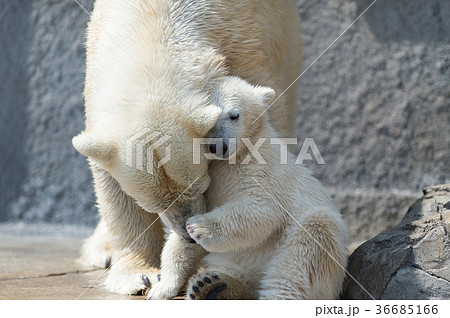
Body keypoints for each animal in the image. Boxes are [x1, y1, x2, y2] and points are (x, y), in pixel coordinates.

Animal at [74, 0, 302, 294]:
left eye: (200, 185)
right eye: (153, 204)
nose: (188, 236)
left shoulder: (244, 42)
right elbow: (111, 185)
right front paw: (139, 275)